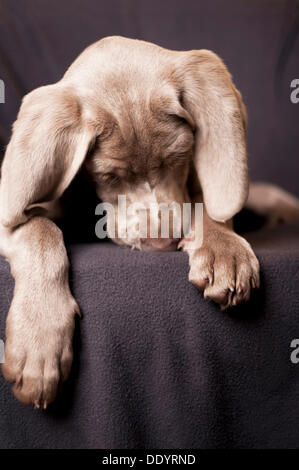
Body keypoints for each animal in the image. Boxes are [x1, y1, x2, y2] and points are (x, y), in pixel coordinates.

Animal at [0, 36, 299, 406]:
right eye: (108, 176)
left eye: (179, 158)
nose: (162, 243)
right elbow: (40, 229)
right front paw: (39, 344)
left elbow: (210, 204)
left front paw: (224, 253)